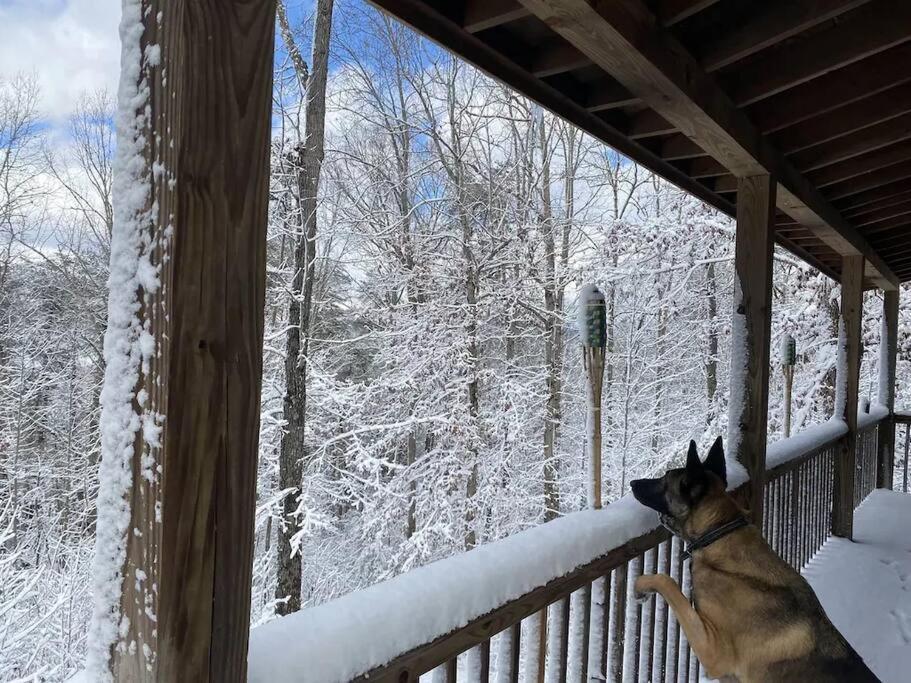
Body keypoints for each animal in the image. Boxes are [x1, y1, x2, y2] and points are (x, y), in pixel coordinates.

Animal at [632, 440, 880, 680]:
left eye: (664, 479)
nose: (633, 483)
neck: (719, 532)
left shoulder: (714, 651)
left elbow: (667, 582)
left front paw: (641, 587)